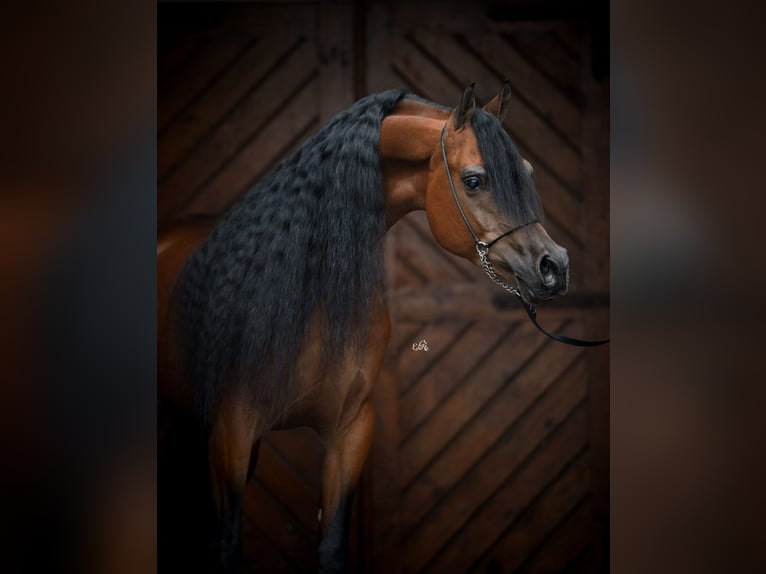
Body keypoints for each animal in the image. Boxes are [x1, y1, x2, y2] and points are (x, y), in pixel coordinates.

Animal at [157, 82, 570, 573]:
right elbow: (226, 545)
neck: (304, 291)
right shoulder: (232, 431)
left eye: (526, 171)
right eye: (474, 180)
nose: (554, 266)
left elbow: (332, 546)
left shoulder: (350, 431)